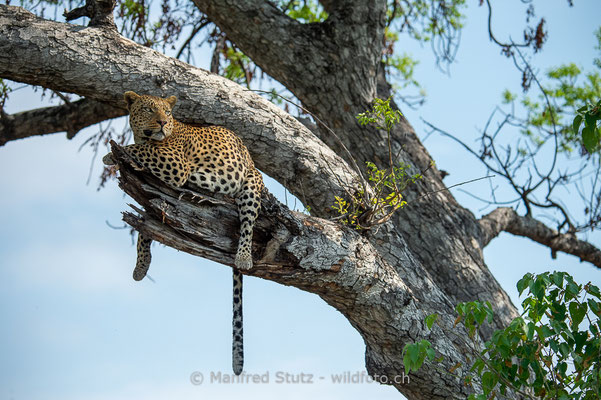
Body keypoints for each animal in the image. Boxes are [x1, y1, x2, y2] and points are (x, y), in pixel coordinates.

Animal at [103, 90, 262, 376]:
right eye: (148, 109)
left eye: (167, 112)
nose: (163, 123)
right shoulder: (152, 191)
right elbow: (147, 227)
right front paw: (141, 266)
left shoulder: (174, 163)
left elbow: (140, 149)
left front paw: (111, 155)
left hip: (251, 185)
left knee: (248, 222)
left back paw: (244, 257)